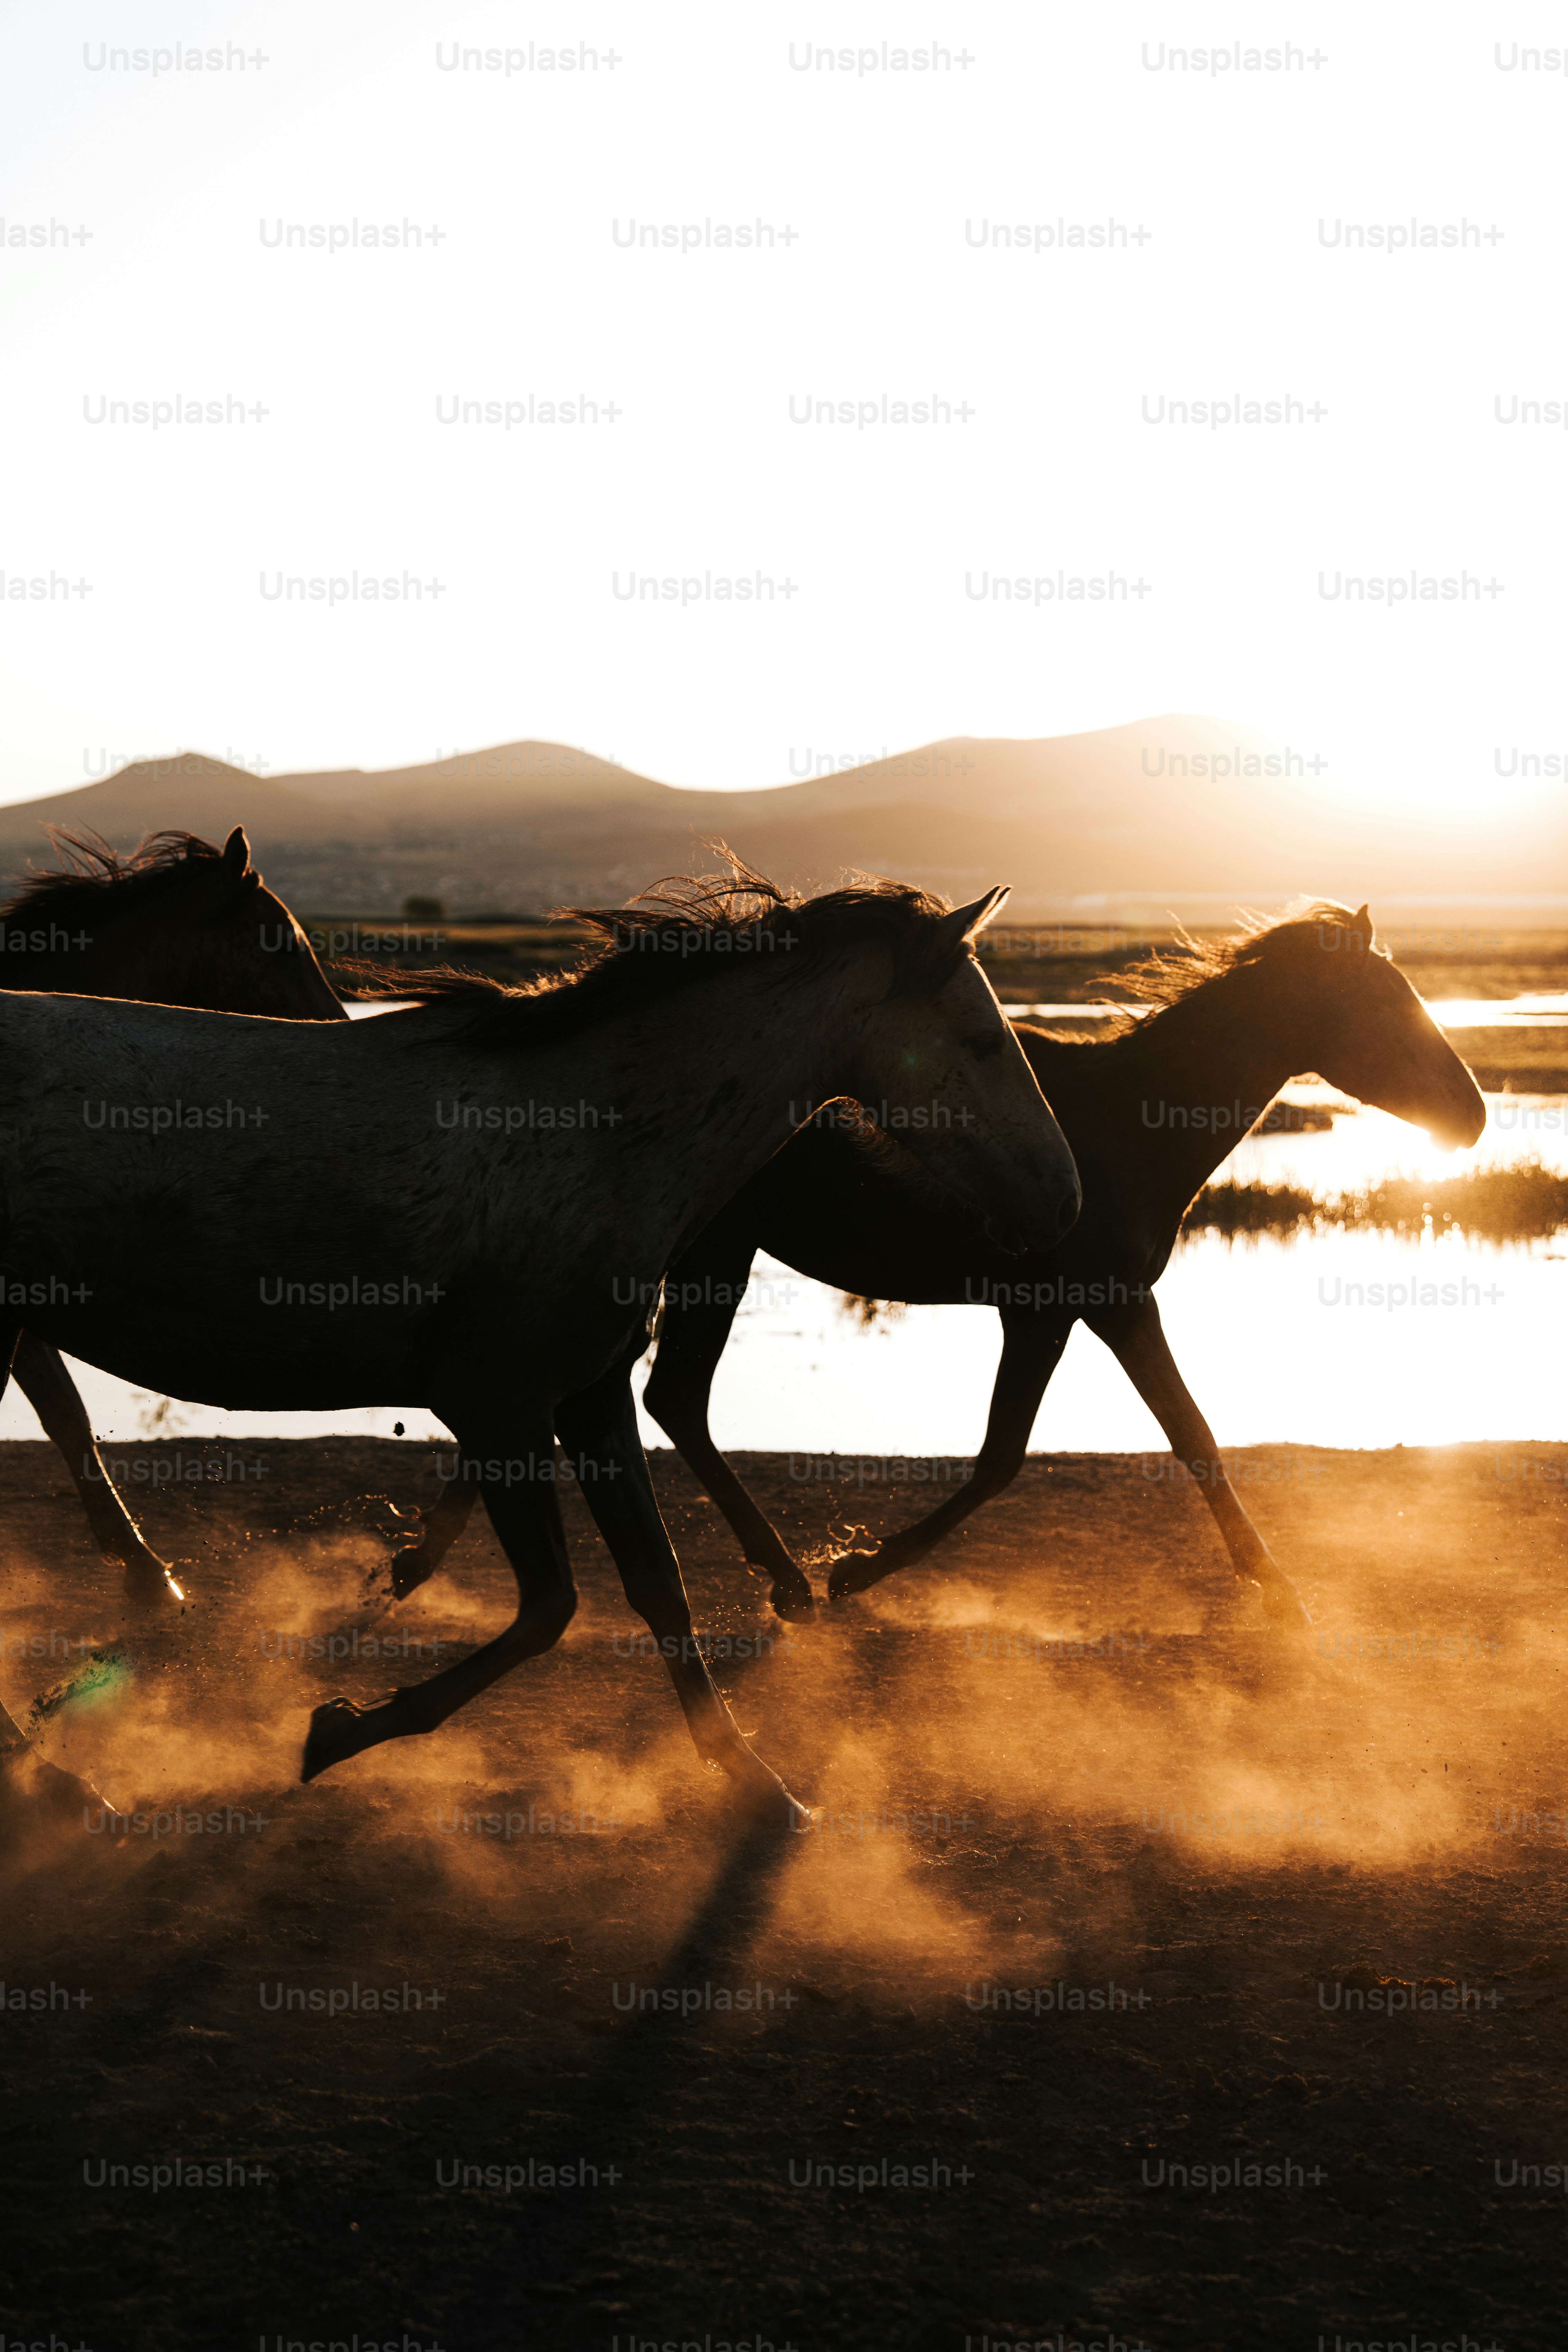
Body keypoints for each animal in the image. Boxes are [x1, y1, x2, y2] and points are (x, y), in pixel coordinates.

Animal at [0, 826, 345, 1600]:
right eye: (281, 942)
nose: (339, 1033)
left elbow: (65, 1412)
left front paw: (143, 1569)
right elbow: (61, 1408)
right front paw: (145, 1573)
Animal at [566, 902, 1479, 1629]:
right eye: (1385, 1003)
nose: (1471, 1116)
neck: (1129, 1122)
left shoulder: (1086, 1309)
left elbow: (1141, 1440)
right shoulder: (1075, 1306)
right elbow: (1052, 1451)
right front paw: (858, 1569)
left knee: (676, 1398)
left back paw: (783, 1576)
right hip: (715, 1254)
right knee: (676, 1395)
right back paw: (789, 1579)